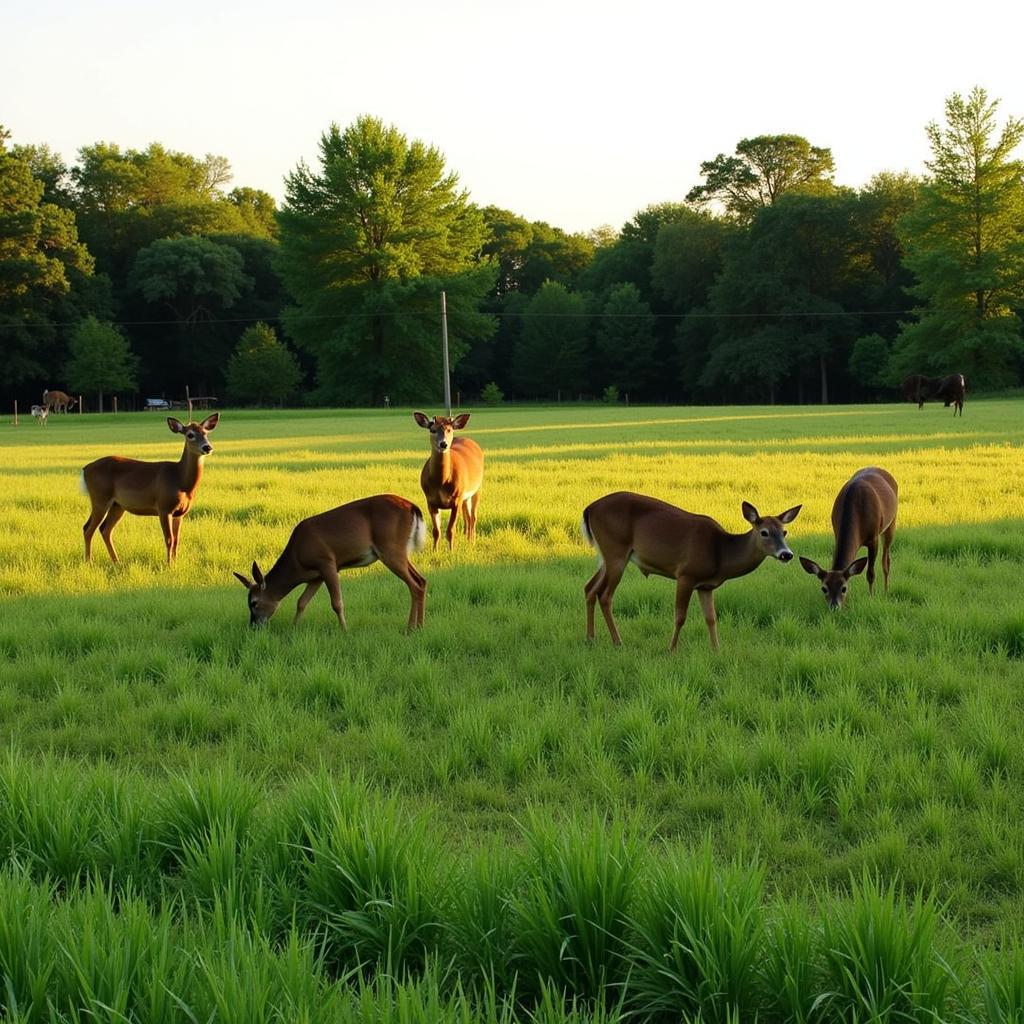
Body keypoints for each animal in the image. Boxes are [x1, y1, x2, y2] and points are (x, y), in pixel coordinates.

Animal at [81, 411, 220, 565]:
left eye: (206, 433)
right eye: (190, 434)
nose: (207, 447)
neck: (180, 480)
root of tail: (85, 469)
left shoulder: (180, 513)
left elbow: (177, 540)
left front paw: (175, 563)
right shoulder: (164, 507)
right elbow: (169, 539)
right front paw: (169, 565)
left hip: (117, 505)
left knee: (105, 529)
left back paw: (117, 561)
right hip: (100, 497)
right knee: (88, 528)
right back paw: (89, 562)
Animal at [233, 495, 428, 630]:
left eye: (253, 602)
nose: (253, 626)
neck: (297, 559)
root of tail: (412, 507)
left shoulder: (327, 562)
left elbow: (336, 603)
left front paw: (344, 630)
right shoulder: (315, 576)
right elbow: (301, 602)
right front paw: (293, 628)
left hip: (390, 548)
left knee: (414, 585)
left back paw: (410, 628)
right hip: (399, 551)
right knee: (421, 580)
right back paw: (419, 626)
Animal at [411, 409, 483, 548]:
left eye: (449, 430)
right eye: (432, 429)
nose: (443, 444)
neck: (441, 481)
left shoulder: (456, 500)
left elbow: (450, 531)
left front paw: (452, 550)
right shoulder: (431, 501)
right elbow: (436, 531)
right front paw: (435, 550)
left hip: (477, 488)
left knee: (473, 516)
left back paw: (472, 541)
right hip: (465, 495)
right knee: (467, 516)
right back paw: (467, 538)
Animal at [581, 491, 802, 651]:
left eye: (784, 531)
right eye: (764, 532)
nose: (786, 554)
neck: (720, 553)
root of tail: (589, 509)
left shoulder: (705, 586)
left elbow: (711, 618)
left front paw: (716, 650)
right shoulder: (686, 574)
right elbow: (680, 616)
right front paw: (671, 649)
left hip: (606, 556)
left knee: (589, 588)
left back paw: (591, 638)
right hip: (616, 550)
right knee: (605, 596)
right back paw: (618, 641)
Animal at [798, 468, 897, 610]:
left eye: (843, 588)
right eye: (824, 589)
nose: (834, 606)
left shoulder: (873, 539)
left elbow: (870, 573)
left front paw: (871, 596)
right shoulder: (836, 531)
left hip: (891, 522)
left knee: (886, 560)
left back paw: (886, 591)